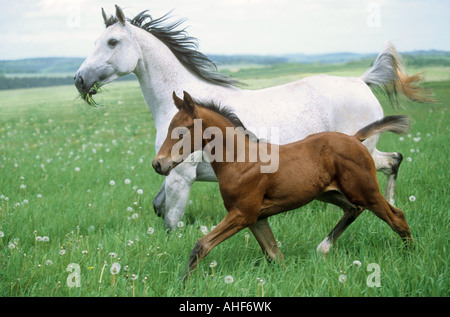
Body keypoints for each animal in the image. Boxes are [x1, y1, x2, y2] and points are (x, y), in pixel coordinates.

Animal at [74, 6, 428, 228]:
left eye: (113, 41)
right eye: (95, 41)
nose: (79, 80)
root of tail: (361, 80)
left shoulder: (180, 176)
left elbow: (170, 221)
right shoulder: (170, 171)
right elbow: (158, 206)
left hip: (360, 156)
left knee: (390, 164)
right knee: (394, 159)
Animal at [153, 90, 414, 278]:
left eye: (183, 130)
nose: (158, 164)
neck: (239, 159)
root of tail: (354, 139)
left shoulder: (243, 214)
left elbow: (201, 246)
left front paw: (182, 283)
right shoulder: (257, 218)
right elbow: (274, 255)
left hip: (365, 191)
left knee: (397, 217)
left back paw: (410, 255)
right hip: (327, 193)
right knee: (353, 209)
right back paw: (323, 248)